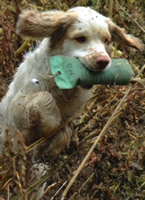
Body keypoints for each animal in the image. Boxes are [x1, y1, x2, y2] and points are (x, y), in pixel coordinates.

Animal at [0, 6, 143, 156]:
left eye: (106, 40)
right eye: (80, 38)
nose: (103, 61)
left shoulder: (72, 115)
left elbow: (65, 132)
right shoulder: (15, 113)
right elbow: (44, 97)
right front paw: (52, 122)